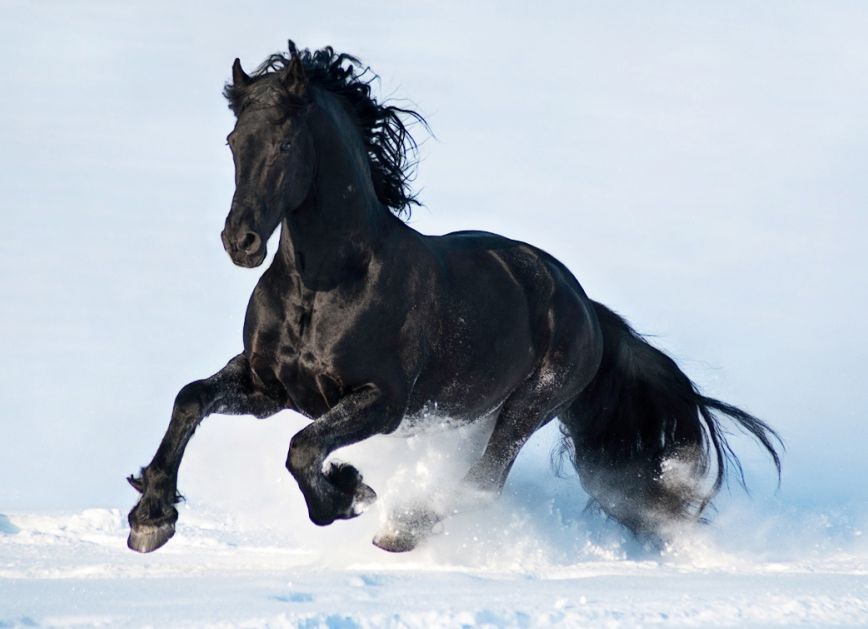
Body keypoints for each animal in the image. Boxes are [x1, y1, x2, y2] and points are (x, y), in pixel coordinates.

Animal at [127, 41, 782, 554]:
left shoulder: (383, 402)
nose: (240, 241)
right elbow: (191, 400)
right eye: (233, 140)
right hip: (476, 409)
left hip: (527, 407)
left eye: (285, 145)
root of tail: (584, 307)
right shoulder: (269, 388)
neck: (324, 287)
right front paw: (151, 517)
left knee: (484, 480)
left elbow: (302, 449)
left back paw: (404, 527)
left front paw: (350, 491)